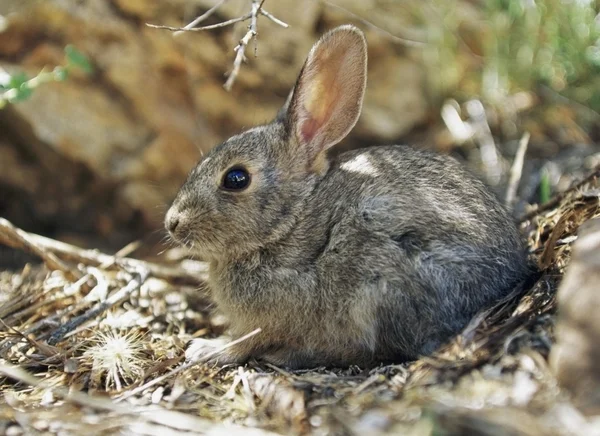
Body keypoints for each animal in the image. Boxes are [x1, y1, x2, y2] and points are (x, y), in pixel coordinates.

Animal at [164, 24, 528, 368]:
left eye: (236, 179)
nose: (172, 222)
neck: (288, 222)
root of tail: (511, 277)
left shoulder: (273, 314)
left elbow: (247, 341)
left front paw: (208, 349)